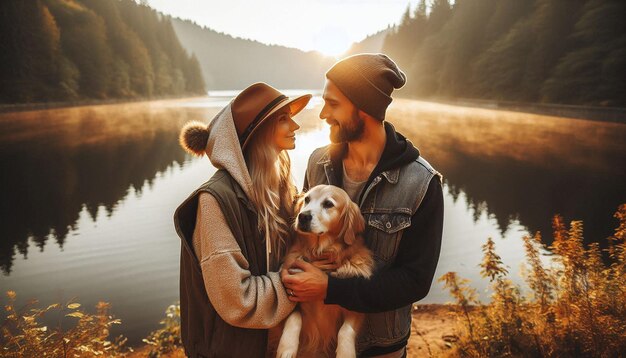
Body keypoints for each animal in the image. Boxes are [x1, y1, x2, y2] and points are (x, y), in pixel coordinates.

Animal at [276, 186, 372, 356]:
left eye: (328, 204)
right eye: (307, 199)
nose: (303, 216)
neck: (319, 250)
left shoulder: (355, 309)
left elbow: (345, 330)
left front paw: (345, 353)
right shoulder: (294, 292)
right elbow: (294, 318)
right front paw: (287, 348)